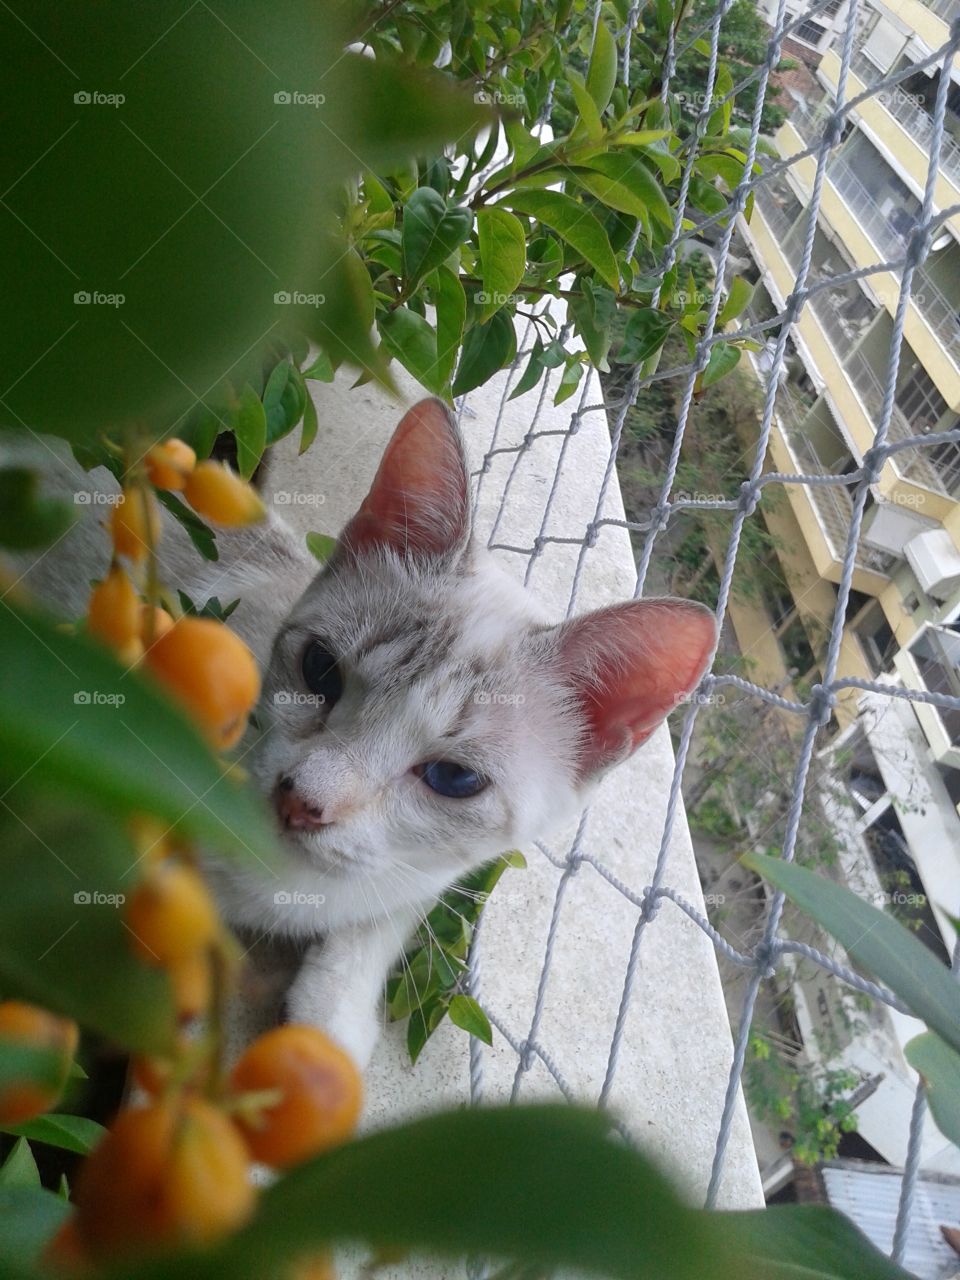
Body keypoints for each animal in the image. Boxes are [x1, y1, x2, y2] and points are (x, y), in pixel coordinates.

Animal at [11, 399, 716, 1070]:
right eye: (320, 669)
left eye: (454, 778)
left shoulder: (426, 881)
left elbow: (371, 932)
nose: (301, 801)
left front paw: (329, 1027)